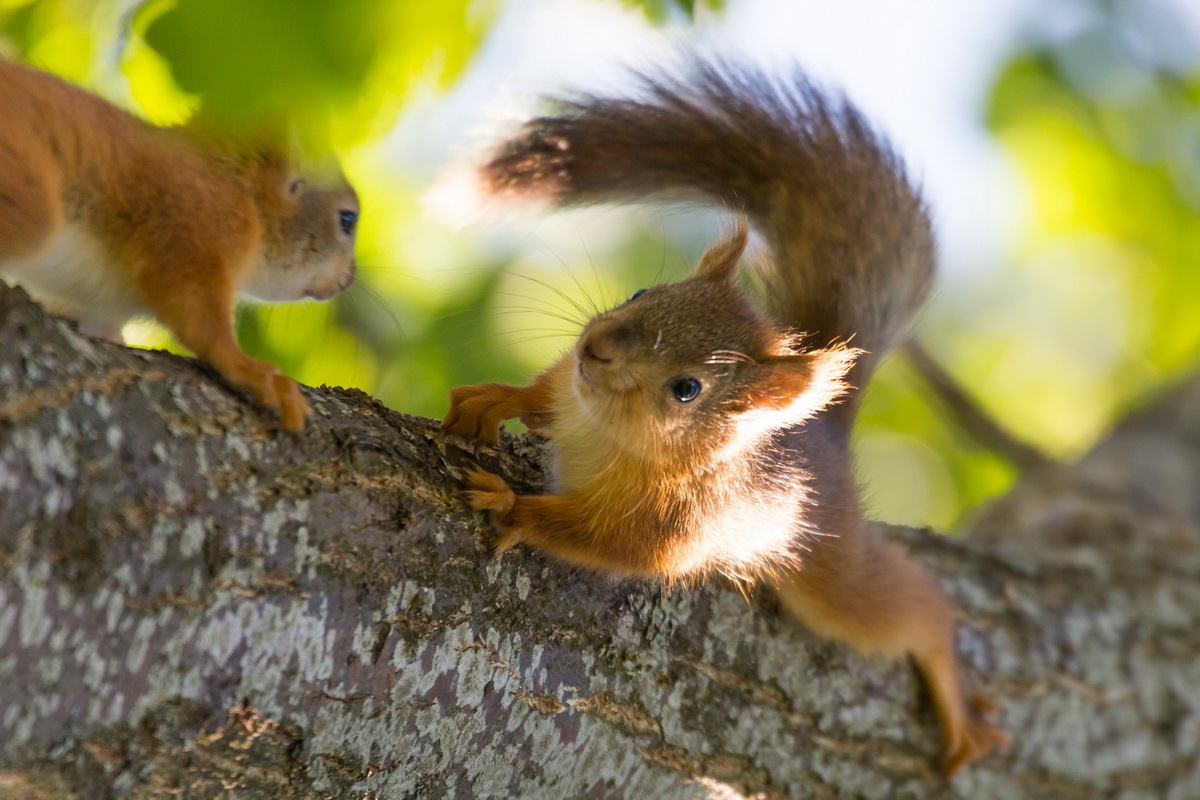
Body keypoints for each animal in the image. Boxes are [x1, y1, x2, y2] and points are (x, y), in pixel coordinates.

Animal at [0, 57, 355, 431]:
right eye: (347, 219)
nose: (349, 279)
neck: (237, 188)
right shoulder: (191, 230)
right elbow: (199, 316)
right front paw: (252, 371)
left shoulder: (97, 306)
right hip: (30, 206)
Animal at [446, 54, 1008, 777]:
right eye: (642, 291)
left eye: (687, 388)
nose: (595, 349)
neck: (608, 433)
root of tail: (823, 435)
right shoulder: (570, 393)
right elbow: (541, 393)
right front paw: (497, 398)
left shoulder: (674, 524)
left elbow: (608, 544)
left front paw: (511, 506)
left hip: (831, 571)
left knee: (911, 611)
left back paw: (950, 683)